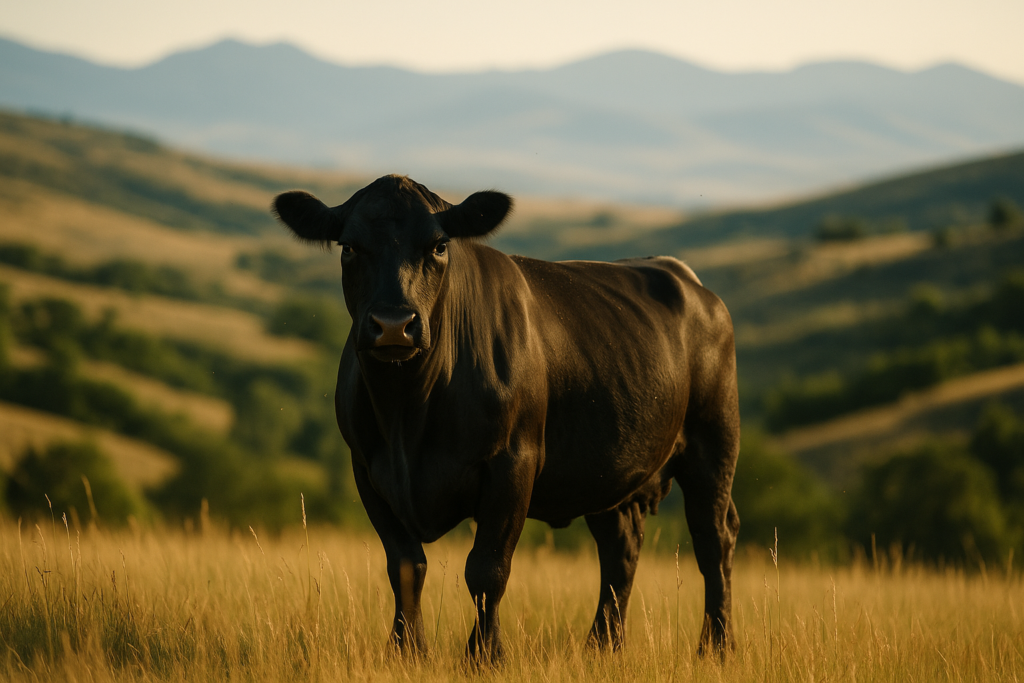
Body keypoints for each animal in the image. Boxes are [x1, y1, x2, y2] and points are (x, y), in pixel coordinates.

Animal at [272, 175, 740, 662]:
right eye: (348, 247)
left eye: (439, 246)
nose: (393, 324)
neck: (408, 416)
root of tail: (684, 277)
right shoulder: (368, 469)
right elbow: (404, 566)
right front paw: (406, 651)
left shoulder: (513, 463)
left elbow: (486, 569)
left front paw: (484, 656)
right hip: (608, 469)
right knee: (621, 547)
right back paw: (603, 646)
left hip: (713, 443)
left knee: (714, 539)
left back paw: (716, 647)